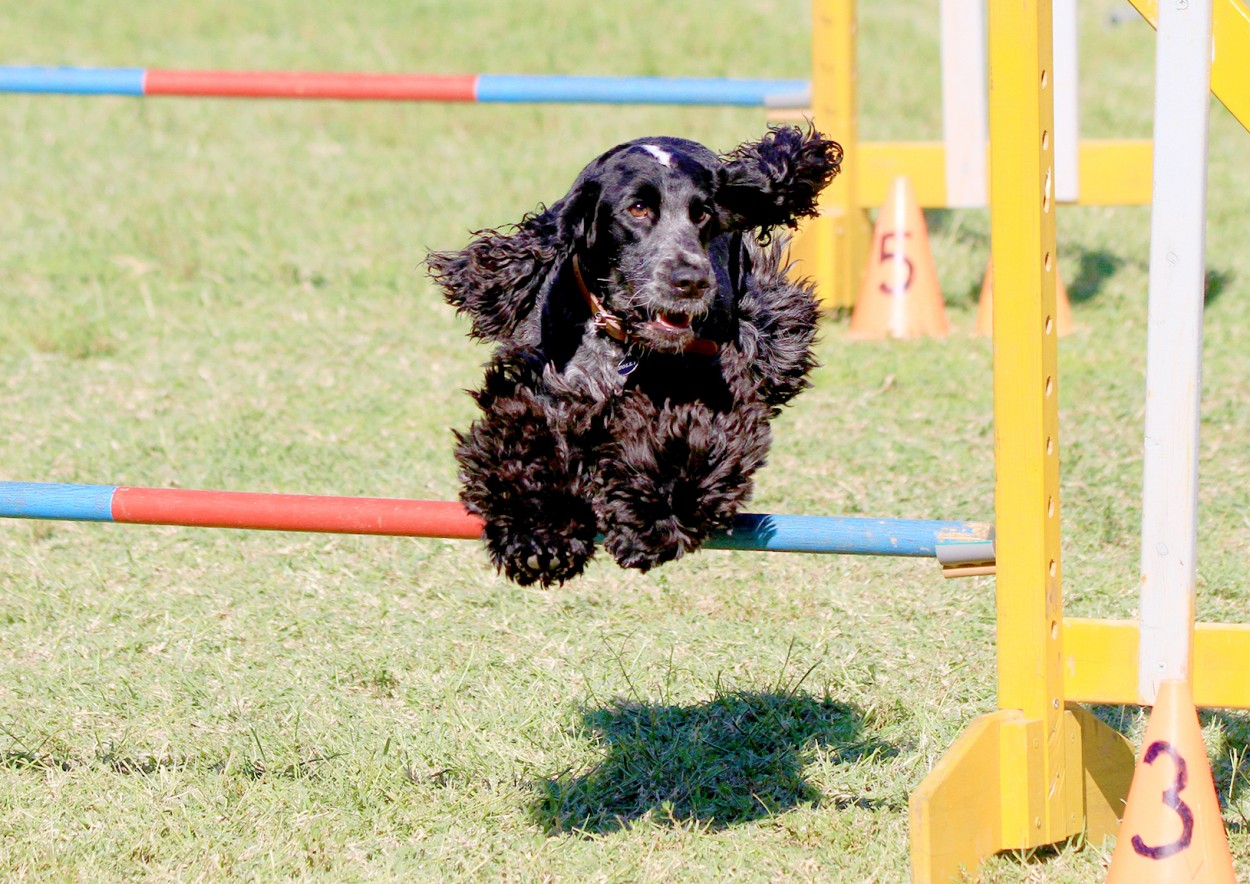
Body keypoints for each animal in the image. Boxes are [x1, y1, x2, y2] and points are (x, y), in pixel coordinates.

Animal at [427, 122, 840, 580]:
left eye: (703, 213)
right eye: (638, 209)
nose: (692, 280)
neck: (621, 340)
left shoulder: (713, 390)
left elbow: (684, 441)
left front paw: (650, 522)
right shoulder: (542, 389)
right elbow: (528, 443)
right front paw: (538, 535)